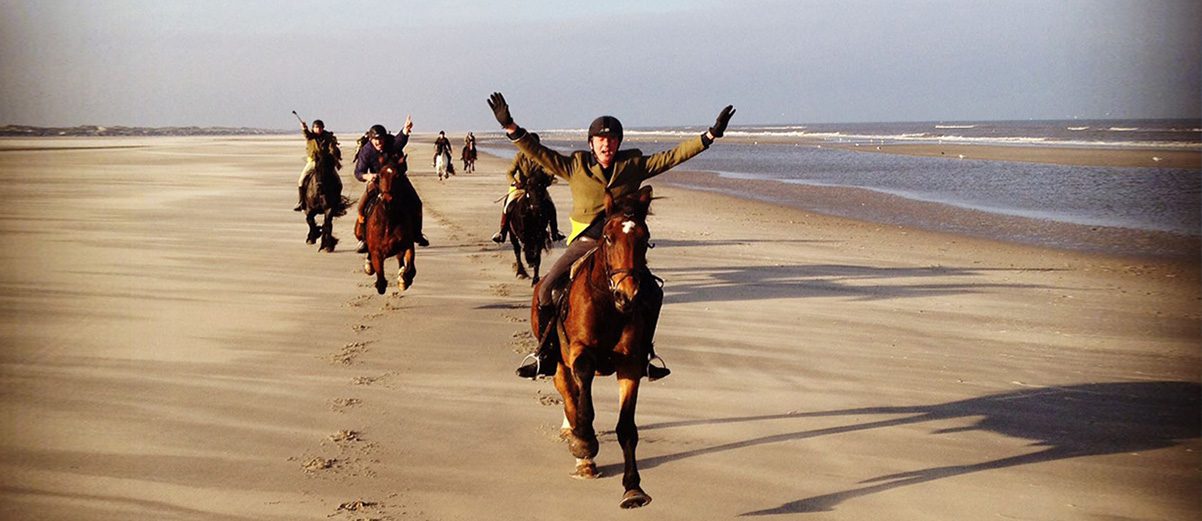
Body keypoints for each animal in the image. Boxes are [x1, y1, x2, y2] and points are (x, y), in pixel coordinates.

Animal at [363, 155, 420, 292]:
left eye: (397, 175)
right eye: (380, 175)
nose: (387, 199)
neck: (388, 220)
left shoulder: (407, 244)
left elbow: (410, 268)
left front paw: (403, 279)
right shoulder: (377, 252)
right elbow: (381, 281)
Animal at [536, 184, 663, 507]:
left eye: (644, 238)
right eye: (608, 236)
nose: (627, 294)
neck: (608, 304)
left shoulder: (630, 364)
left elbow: (627, 428)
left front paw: (633, 488)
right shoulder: (580, 353)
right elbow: (583, 397)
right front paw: (584, 443)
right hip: (557, 361)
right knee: (569, 396)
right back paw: (582, 452)